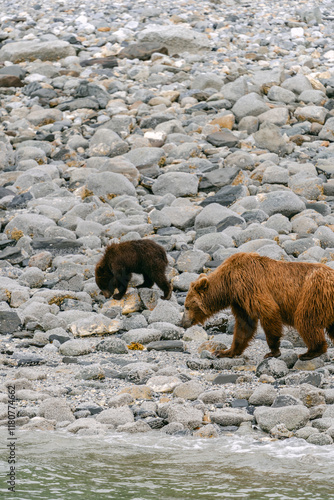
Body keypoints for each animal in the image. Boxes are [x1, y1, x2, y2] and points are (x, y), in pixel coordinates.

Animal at [181, 254, 334, 360]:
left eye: (187, 306)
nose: (183, 323)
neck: (228, 285)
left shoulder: (248, 284)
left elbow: (269, 310)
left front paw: (272, 351)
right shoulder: (239, 301)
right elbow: (244, 326)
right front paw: (224, 352)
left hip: (314, 292)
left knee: (305, 319)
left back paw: (310, 352)